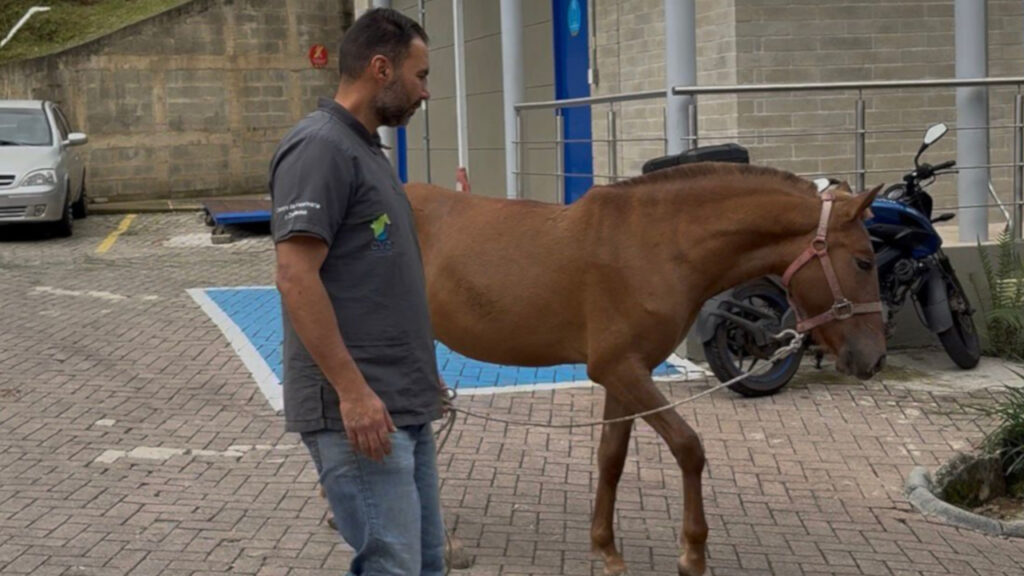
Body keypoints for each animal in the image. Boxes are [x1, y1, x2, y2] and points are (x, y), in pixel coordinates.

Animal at [405, 162, 887, 576]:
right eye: (864, 260)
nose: (875, 358)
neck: (656, 245)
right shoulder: (619, 369)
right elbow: (688, 446)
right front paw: (692, 552)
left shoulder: (625, 375)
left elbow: (611, 457)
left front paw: (606, 548)